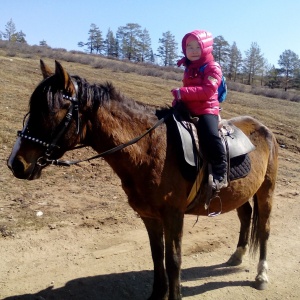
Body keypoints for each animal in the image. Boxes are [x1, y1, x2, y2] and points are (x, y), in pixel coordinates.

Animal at [7, 61, 278, 300]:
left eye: (51, 112)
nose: (15, 163)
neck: (151, 149)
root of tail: (264, 128)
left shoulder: (173, 215)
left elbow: (173, 260)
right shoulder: (149, 215)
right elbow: (157, 255)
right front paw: (158, 294)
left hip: (266, 190)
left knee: (264, 228)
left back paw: (262, 275)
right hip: (242, 191)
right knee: (245, 216)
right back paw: (238, 256)